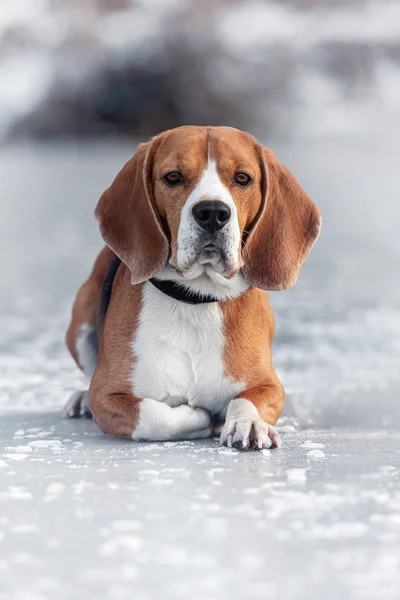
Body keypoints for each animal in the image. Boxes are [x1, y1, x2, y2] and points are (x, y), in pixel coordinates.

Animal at [65, 124, 322, 448]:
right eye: (173, 177)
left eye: (242, 178)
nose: (212, 212)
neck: (196, 300)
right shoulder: (106, 396)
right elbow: (154, 416)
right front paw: (199, 416)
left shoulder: (270, 385)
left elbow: (245, 399)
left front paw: (248, 422)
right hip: (79, 325)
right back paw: (80, 399)